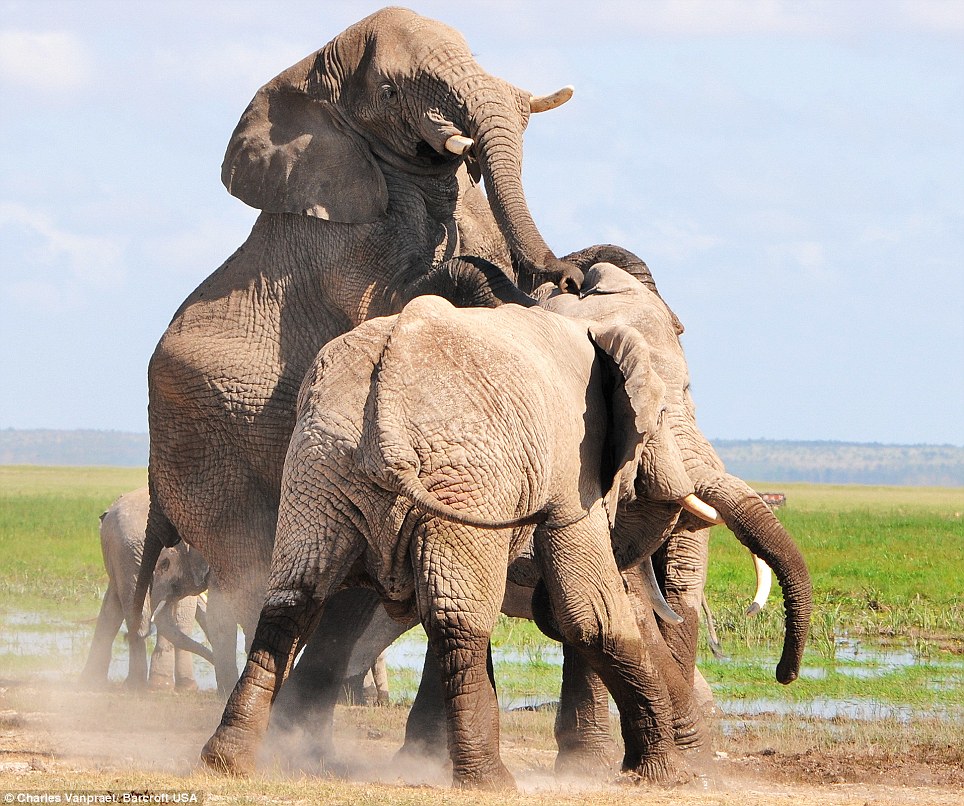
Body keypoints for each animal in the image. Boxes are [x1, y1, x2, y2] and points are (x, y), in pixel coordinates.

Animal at [81, 490, 213, 692]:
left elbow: (111, 609)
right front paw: (186, 687)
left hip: (124, 552)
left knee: (130, 608)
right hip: (129, 549)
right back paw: (151, 684)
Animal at [137, 4, 580, 696]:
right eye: (391, 92)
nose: (568, 274)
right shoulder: (341, 250)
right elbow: (407, 298)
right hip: (200, 447)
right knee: (250, 569)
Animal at [203, 294, 744, 792]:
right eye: (666, 411)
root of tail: (387, 397)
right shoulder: (574, 467)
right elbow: (591, 614)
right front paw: (668, 776)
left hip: (320, 462)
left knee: (294, 600)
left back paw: (227, 761)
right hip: (464, 476)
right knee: (459, 620)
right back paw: (490, 781)